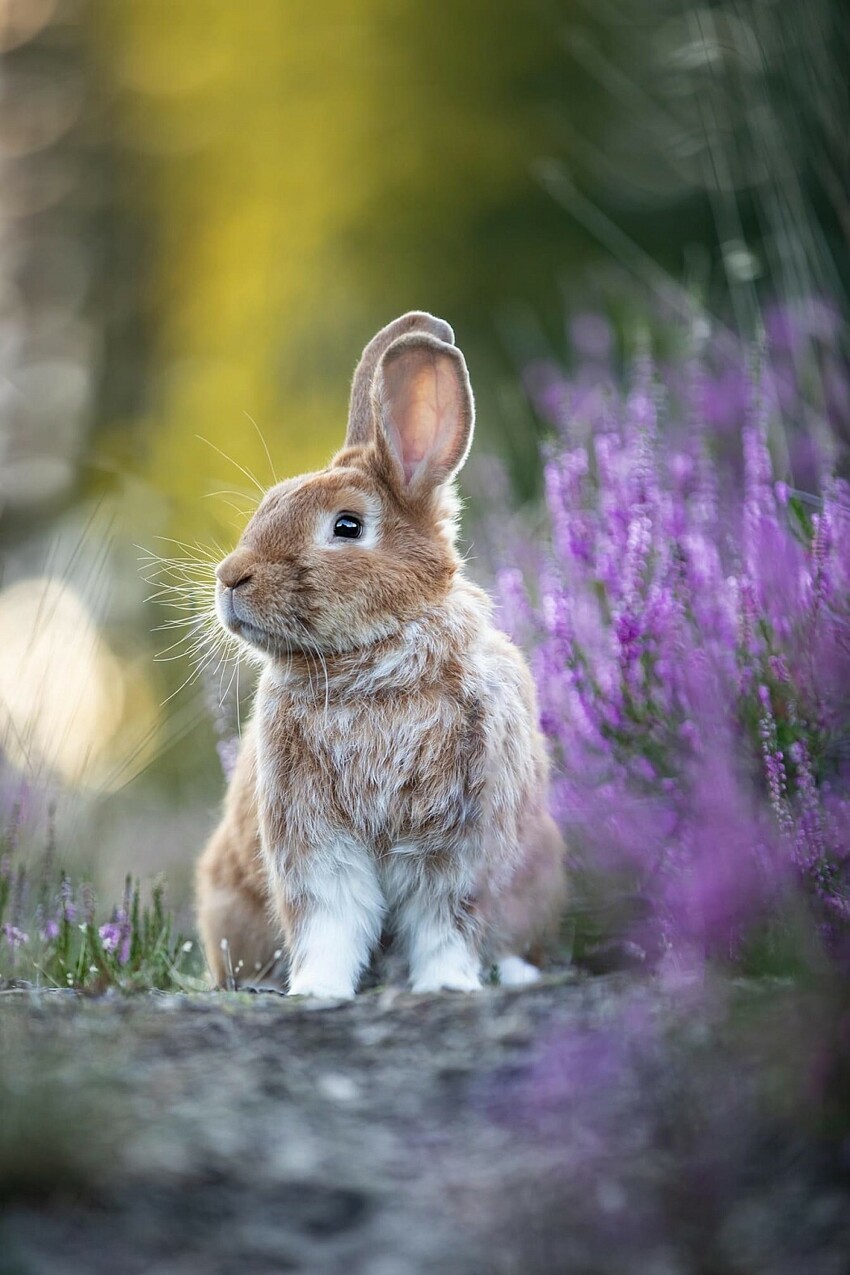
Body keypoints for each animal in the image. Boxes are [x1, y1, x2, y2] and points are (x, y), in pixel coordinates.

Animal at [196, 308, 568, 994]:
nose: (231, 577)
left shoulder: (459, 840)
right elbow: (330, 921)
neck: (372, 660)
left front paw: (447, 985)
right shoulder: (314, 839)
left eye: (347, 526)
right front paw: (318, 991)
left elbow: (447, 922)